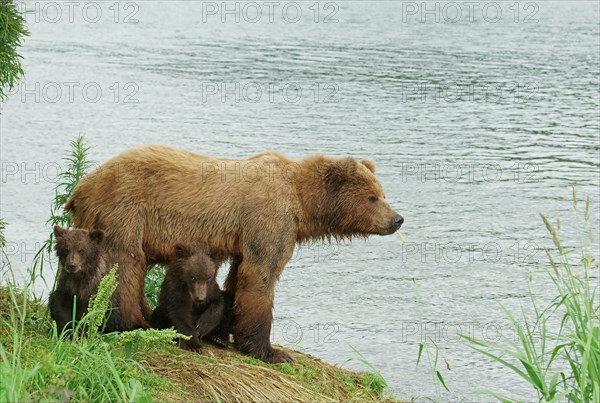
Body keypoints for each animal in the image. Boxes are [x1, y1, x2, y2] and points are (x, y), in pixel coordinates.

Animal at [65, 144, 404, 362]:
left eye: (382, 193)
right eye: (372, 197)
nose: (397, 219)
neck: (302, 202)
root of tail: (82, 186)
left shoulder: (246, 236)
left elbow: (237, 278)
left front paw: (221, 332)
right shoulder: (268, 219)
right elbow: (261, 276)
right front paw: (272, 351)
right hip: (125, 211)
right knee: (125, 264)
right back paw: (133, 321)